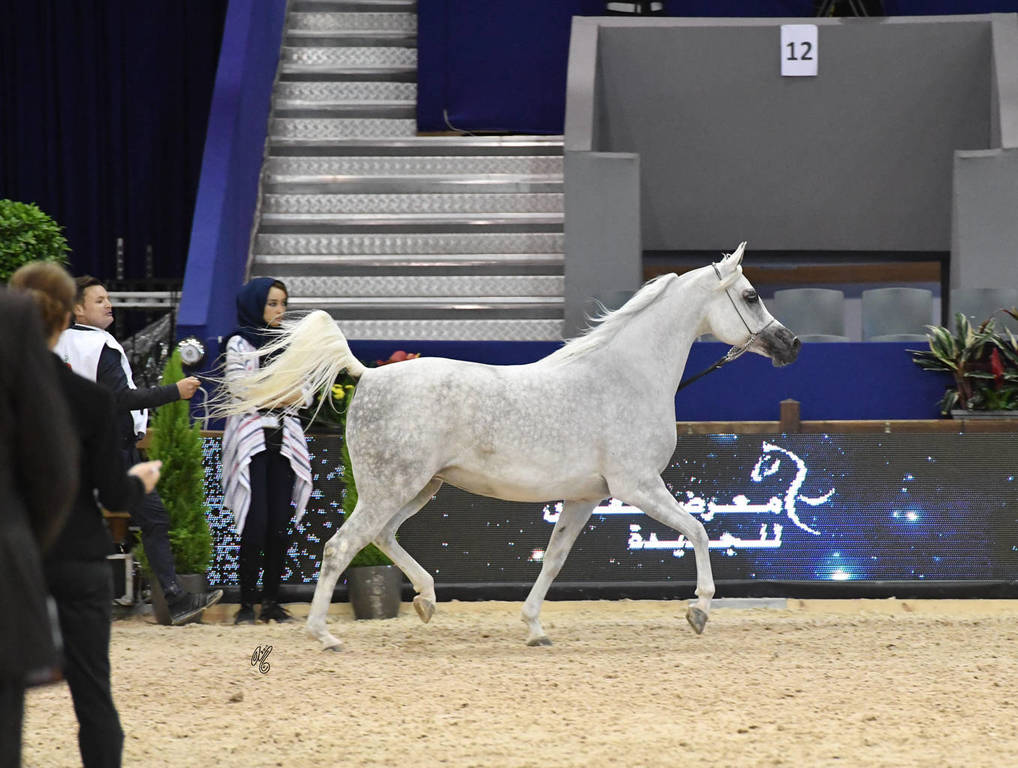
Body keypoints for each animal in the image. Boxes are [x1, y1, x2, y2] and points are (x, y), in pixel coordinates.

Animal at [220, 243, 799, 650]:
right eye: (750, 296)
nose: (791, 344)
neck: (626, 377)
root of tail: (369, 375)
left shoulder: (585, 497)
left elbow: (554, 561)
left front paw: (535, 628)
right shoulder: (638, 487)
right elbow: (699, 531)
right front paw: (698, 610)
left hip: (418, 488)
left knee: (381, 537)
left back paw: (426, 601)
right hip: (392, 486)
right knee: (342, 548)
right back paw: (326, 636)